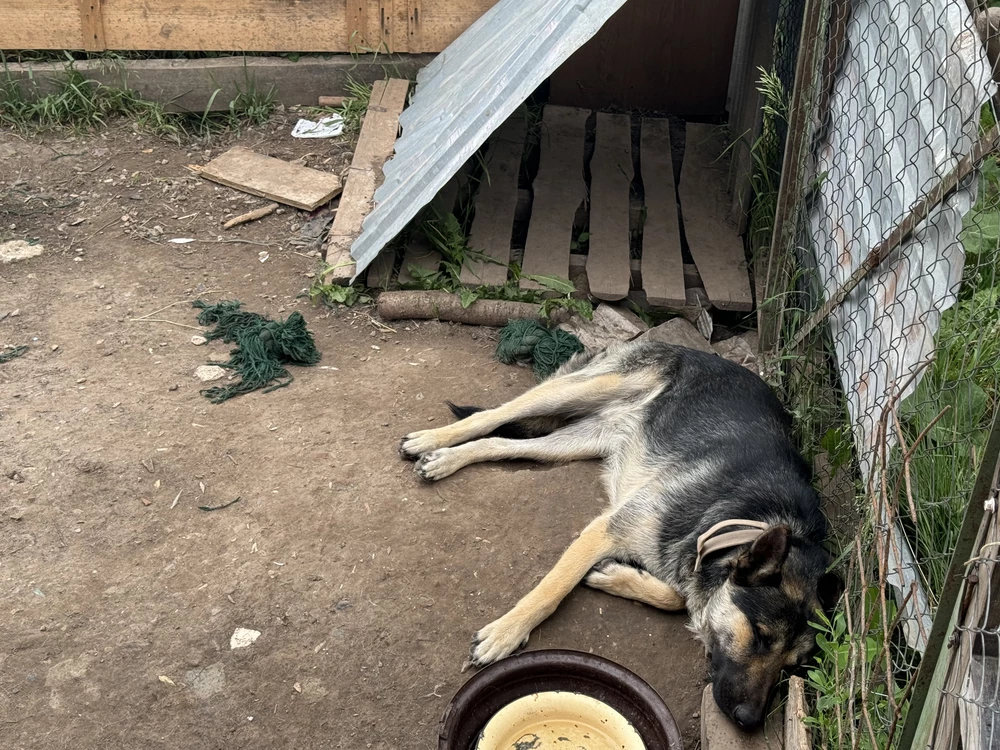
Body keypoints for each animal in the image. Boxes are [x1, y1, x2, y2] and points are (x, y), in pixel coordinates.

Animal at [396, 340, 836, 728]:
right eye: (761, 638)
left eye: (791, 667)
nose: (749, 721)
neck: (747, 519)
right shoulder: (607, 528)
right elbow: (553, 590)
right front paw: (507, 633)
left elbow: (676, 596)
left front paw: (615, 576)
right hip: (581, 388)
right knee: (493, 415)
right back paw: (430, 440)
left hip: (574, 442)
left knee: (502, 444)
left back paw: (446, 459)